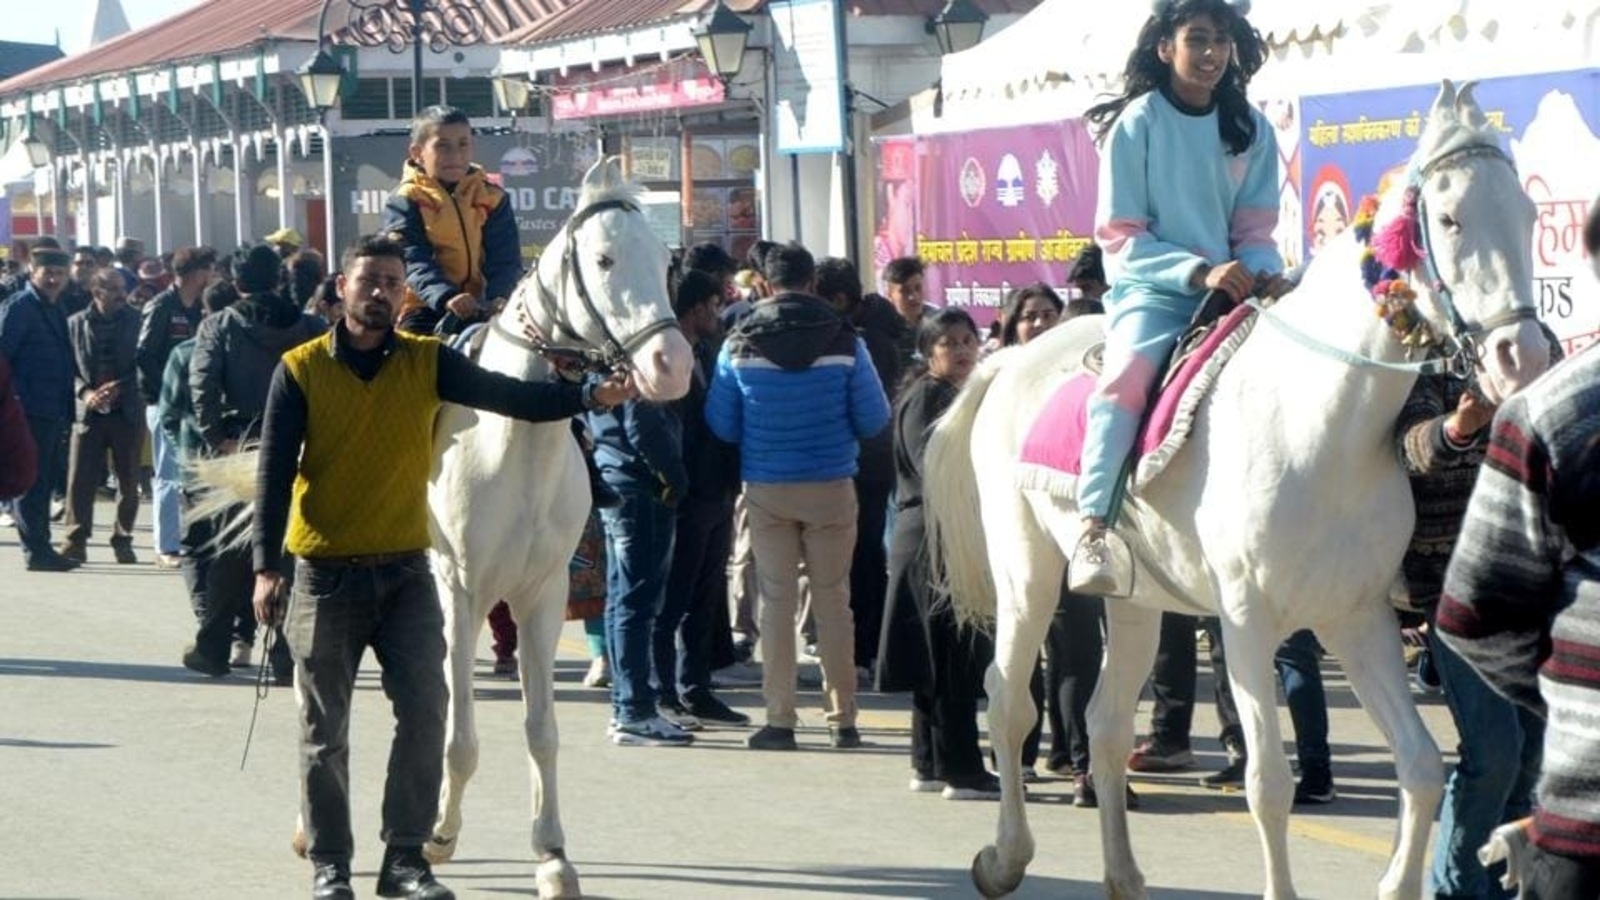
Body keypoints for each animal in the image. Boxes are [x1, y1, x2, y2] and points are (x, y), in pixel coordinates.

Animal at [419, 157, 688, 890]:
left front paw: (552, 855)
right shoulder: (462, 589)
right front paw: (439, 837)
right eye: (603, 259)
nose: (673, 366)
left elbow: (541, 729)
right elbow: (457, 734)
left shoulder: (542, 594)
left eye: (666, 260)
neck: (514, 437)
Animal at [928, 78, 1548, 896]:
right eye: (1448, 218)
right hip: (1024, 571)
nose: (1522, 355)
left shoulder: (1356, 617)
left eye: (1530, 214)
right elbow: (1269, 785)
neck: (1322, 422)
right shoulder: (1247, 621)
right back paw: (1004, 857)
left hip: (1135, 600)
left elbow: (1418, 767)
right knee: (1007, 702)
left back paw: (1124, 874)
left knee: (1105, 723)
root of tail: (1009, 358)